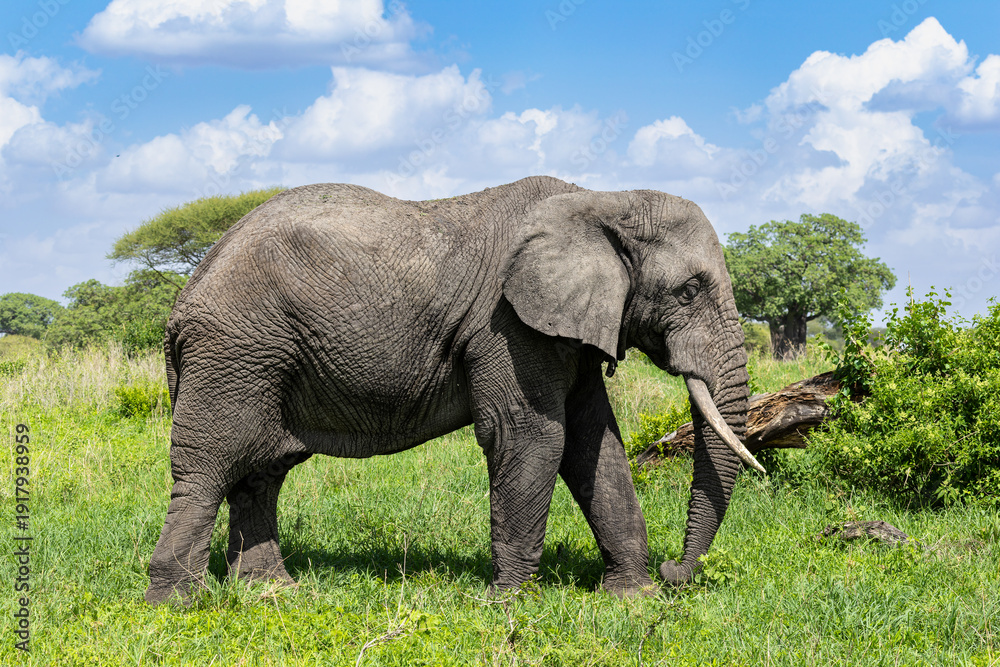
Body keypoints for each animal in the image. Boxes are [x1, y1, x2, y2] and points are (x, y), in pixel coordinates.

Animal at [144, 175, 763, 605]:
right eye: (687, 292)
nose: (676, 573)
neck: (602, 199)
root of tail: (184, 295)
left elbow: (596, 444)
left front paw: (632, 598)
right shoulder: (507, 326)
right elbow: (531, 437)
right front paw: (507, 605)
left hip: (263, 358)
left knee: (261, 473)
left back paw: (273, 592)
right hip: (236, 350)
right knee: (209, 467)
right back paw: (176, 604)